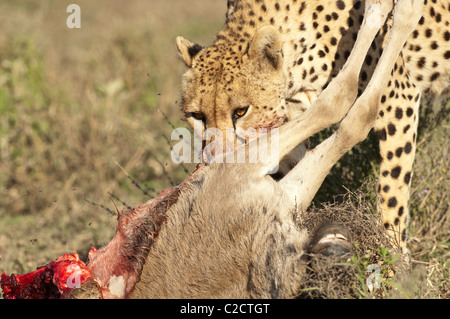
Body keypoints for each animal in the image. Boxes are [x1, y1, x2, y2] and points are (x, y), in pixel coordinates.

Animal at [176, 1, 450, 254]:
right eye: (196, 115)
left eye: (241, 112)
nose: (216, 161)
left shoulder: (397, 99)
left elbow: (393, 192)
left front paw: (393, 258)